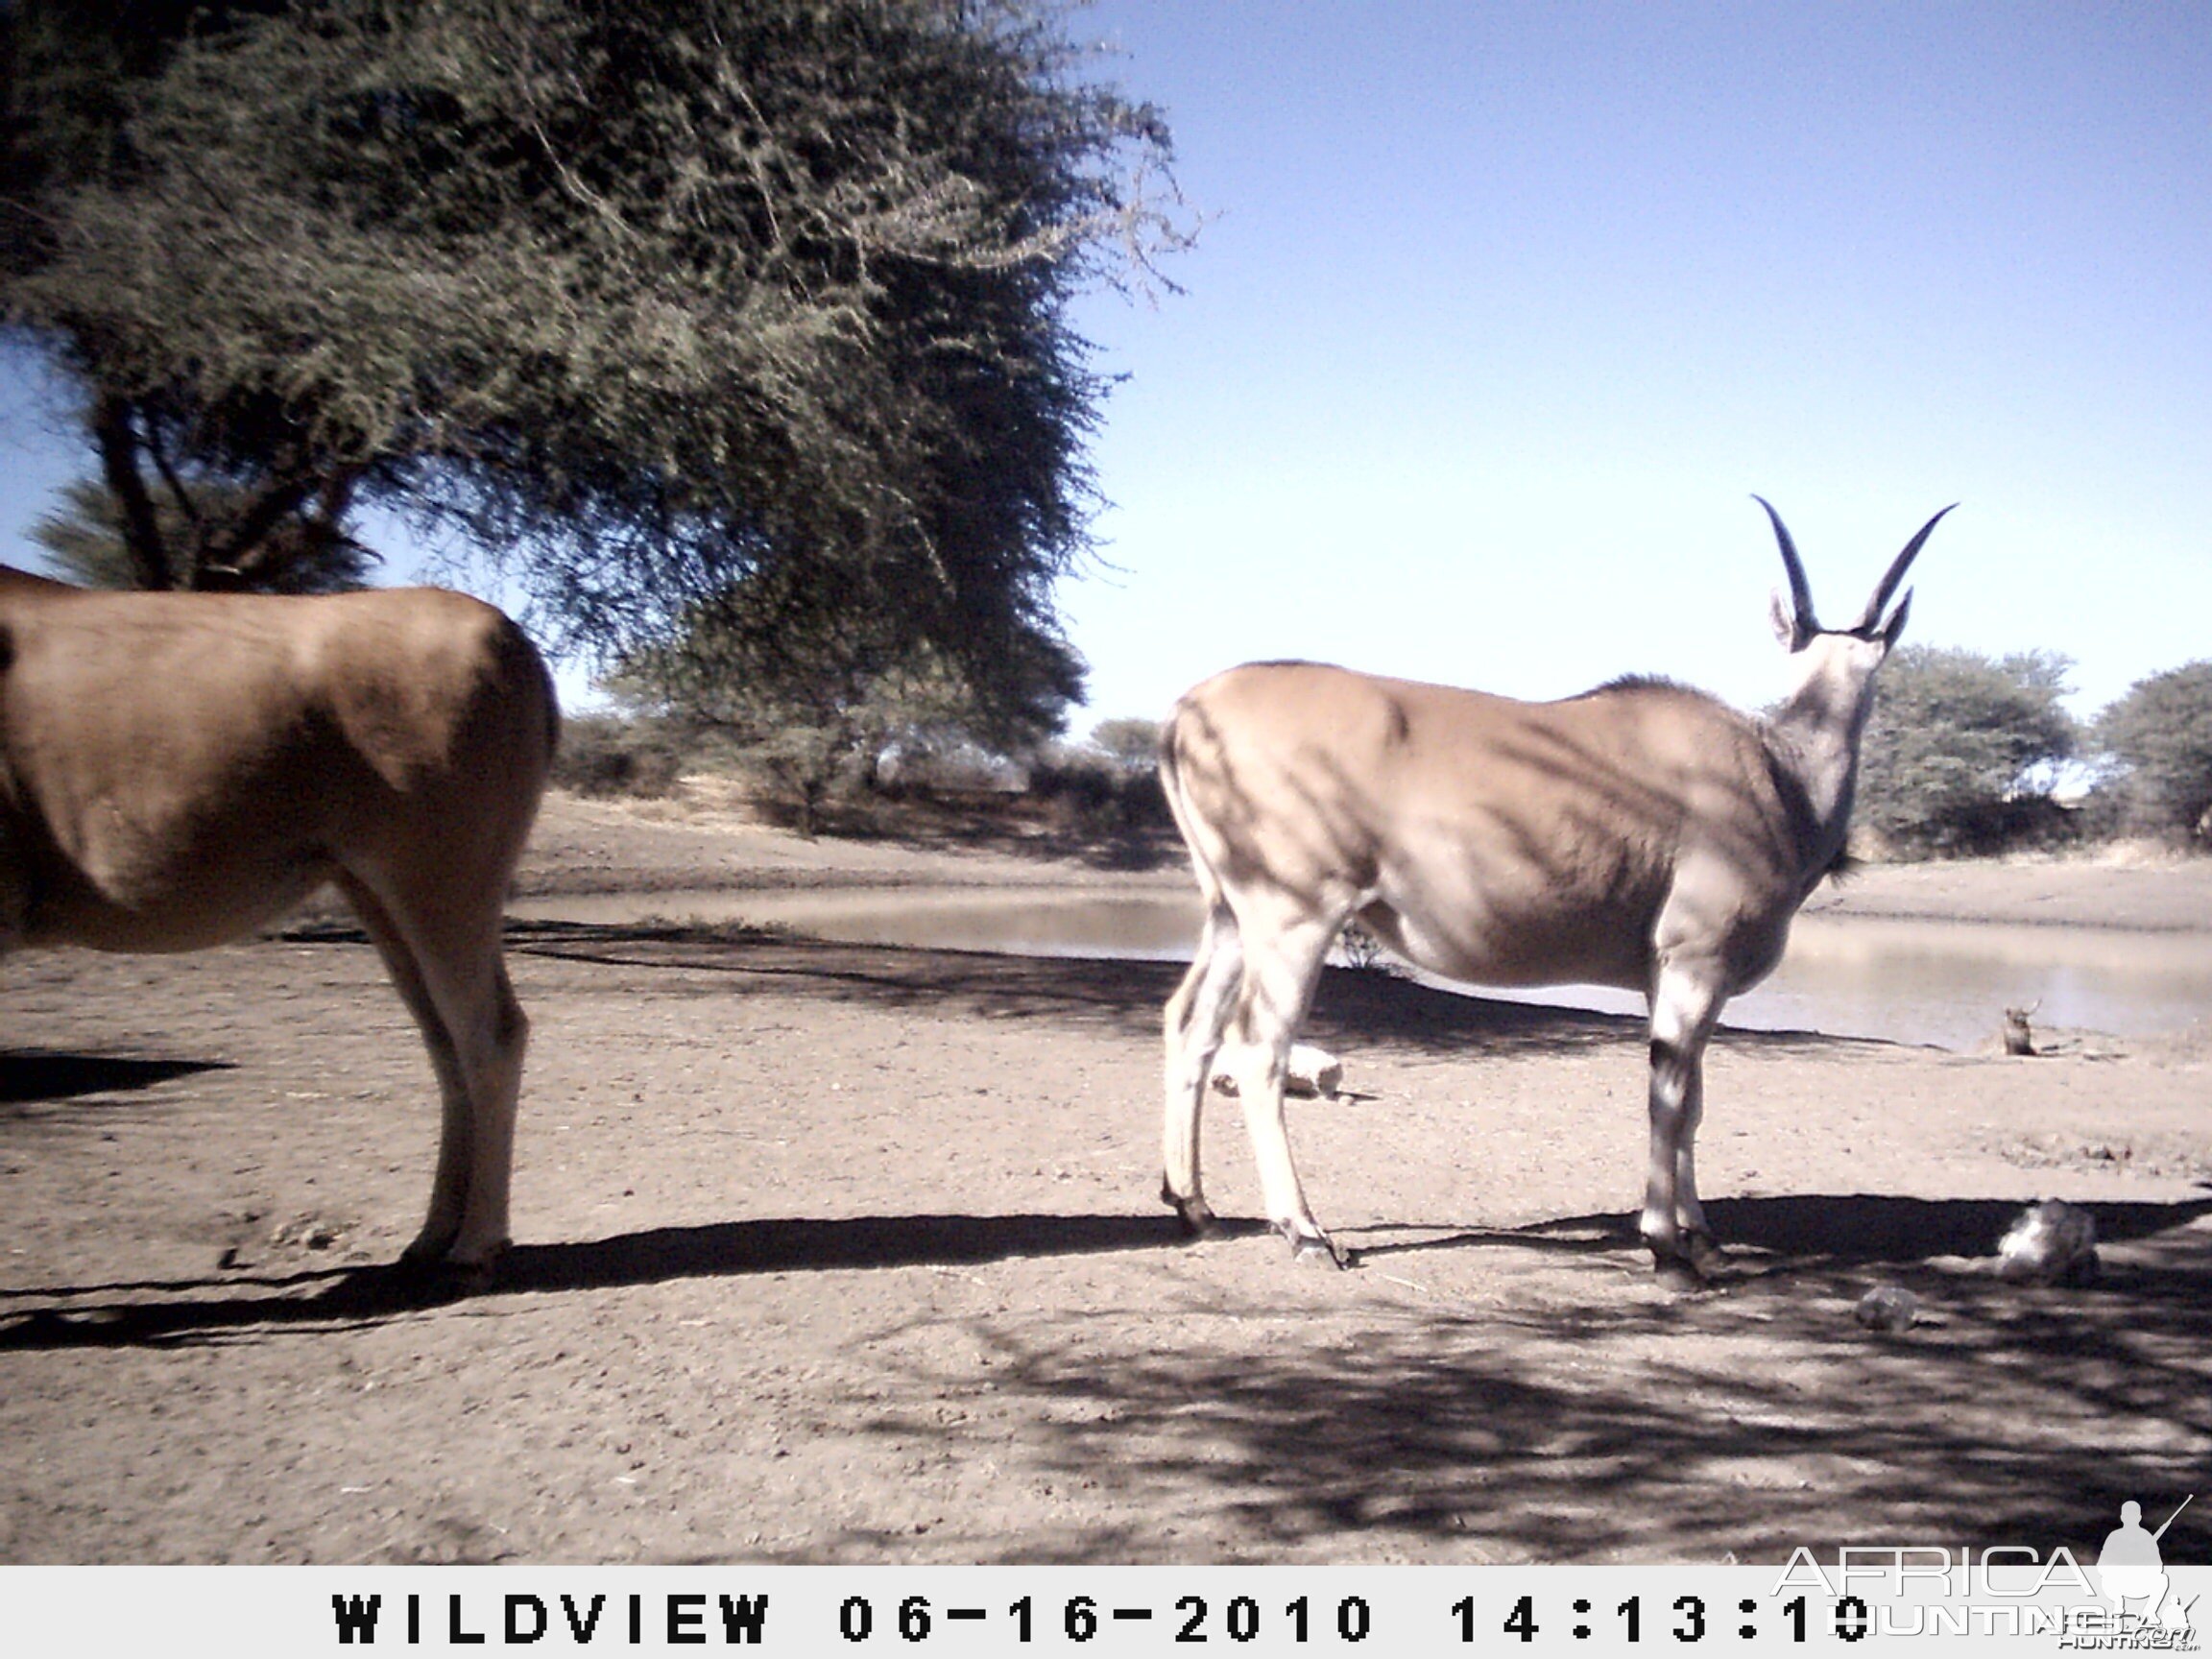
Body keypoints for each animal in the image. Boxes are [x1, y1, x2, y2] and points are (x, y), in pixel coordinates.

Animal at [2, 565, 553, 1283]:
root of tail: (514, 642)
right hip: (380, 894)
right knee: (446, 1045)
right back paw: (432, 1235)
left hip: (438, 883)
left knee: (489, 1035)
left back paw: (475, 1245)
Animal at [1159, 499, 1955, 1283]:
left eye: (1867, 663)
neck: (1775, 766)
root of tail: (1187, 713)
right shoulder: (1696, 961)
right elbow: (1671, 1096)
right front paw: (1667, 1246)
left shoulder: (1667, 975)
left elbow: (1694, 1097)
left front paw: (1701, 1236)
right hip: (1294, 916)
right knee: (1259, 1048)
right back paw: (1303, 1232)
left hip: (1230, 916)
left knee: (1191, 1024)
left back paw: (1194, 1205)